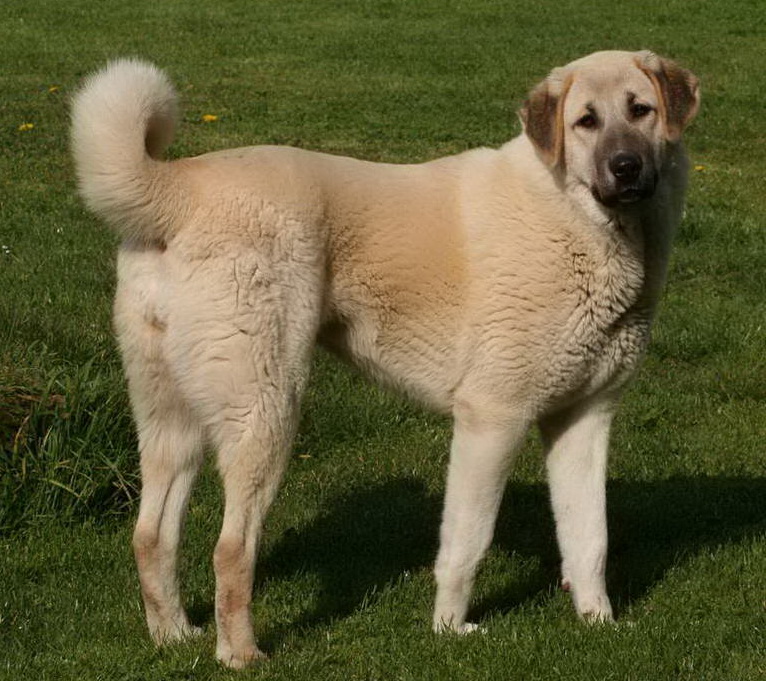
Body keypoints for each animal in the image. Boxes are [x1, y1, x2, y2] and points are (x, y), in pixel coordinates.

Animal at [72, 50, 704, 668]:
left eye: (641, 110)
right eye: (585, 121)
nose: (626, 167)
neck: (578, 221)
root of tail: (180, 187)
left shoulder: (585, 419)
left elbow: (589, 536)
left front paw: (599, 623)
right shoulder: (492, 419)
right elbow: (467, 541)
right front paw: (450, 630)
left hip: (170, 418)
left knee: (151, 534)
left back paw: (173, 637)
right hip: (266, 406)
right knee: (231, 548)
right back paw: (242, 654)